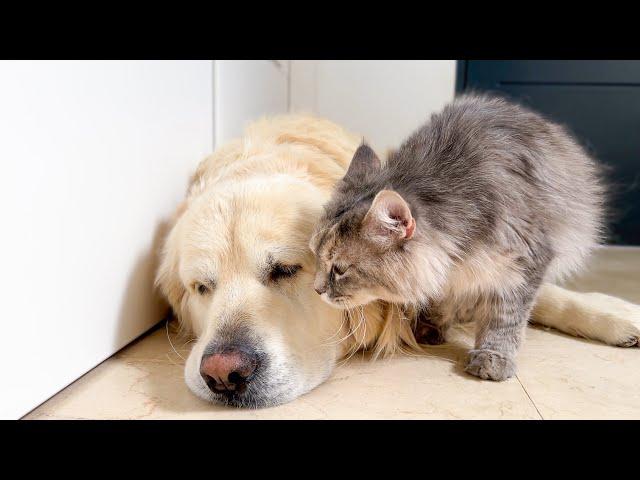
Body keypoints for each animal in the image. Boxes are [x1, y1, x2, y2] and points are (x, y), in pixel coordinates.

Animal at [308, 93, 604, 378]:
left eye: (340, 269)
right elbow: (441, 298)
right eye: (316, 258)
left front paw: (494, 356)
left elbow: (504, 317)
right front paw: (430, 326)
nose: (316, 289)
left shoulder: (523, 261)